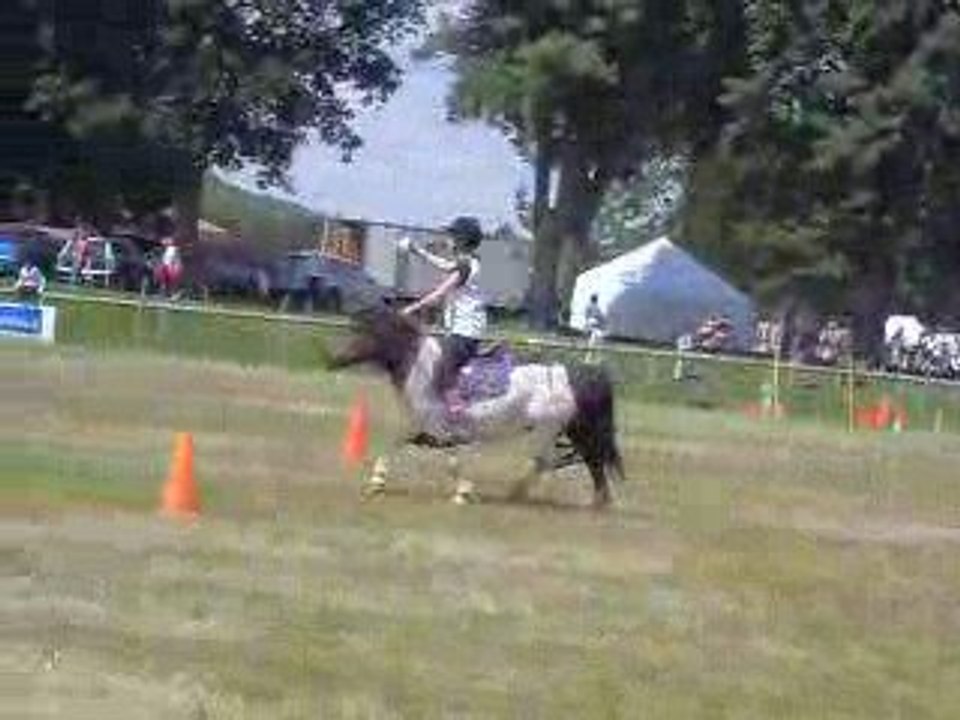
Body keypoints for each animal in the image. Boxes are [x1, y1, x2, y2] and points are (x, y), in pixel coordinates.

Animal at [327, 305, 625, 507]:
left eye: (366, 333)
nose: (334, 359)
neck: (424, 370)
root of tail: (575, 373)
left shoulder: (445, 431)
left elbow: (453, 462)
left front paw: (463, 493)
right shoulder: (423, 428)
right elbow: (393, 444)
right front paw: (376, 482)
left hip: (548, 430)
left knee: (556, 461)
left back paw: (521, 493)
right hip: (569, 430)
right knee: (584, 460)